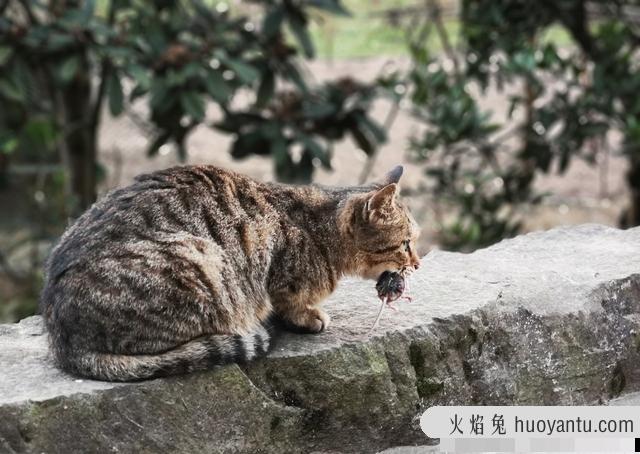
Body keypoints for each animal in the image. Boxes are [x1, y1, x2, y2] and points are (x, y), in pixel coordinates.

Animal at [38, 163, 420, 380]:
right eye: (406, 243)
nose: (416, 264)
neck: (319, 228)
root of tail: (63, 341)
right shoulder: (281, 278)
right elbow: (291, 303)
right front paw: (309, 316)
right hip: (203, 261)